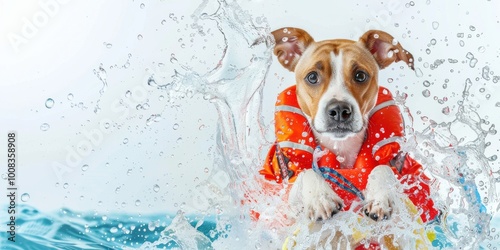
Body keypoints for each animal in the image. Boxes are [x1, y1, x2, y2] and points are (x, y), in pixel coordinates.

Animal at [262, 26, 438, 227]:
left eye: (360, 75)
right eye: (312, 77)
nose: (339, 109)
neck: (341, 149)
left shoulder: (414, 186)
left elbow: (383, 169)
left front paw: (380, 197)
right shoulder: (277, 199)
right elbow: (305, 173)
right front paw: (320, 197)